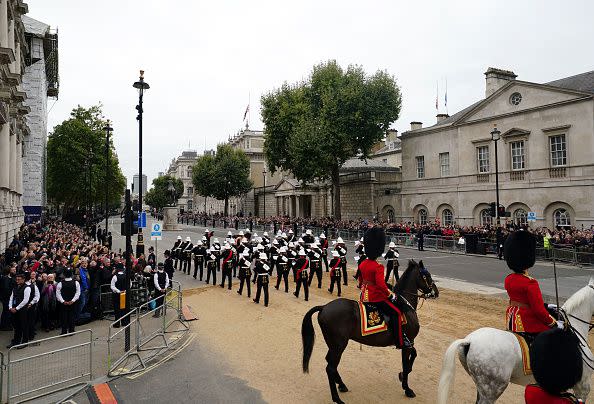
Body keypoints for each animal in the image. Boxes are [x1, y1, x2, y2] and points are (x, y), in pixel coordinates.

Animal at [300, 260, 434, 402]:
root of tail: (324, 307)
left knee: (329, 362)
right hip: (339, 345)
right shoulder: (408, 343)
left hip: (333, 345)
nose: (435, 292)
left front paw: (402, 375)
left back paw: (341, 385)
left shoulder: (407, 342)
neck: (405, 306)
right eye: (428, 276)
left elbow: (413, 357)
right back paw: (337, 398)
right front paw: (407, 388)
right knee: (330, 368)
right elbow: (406, 362)